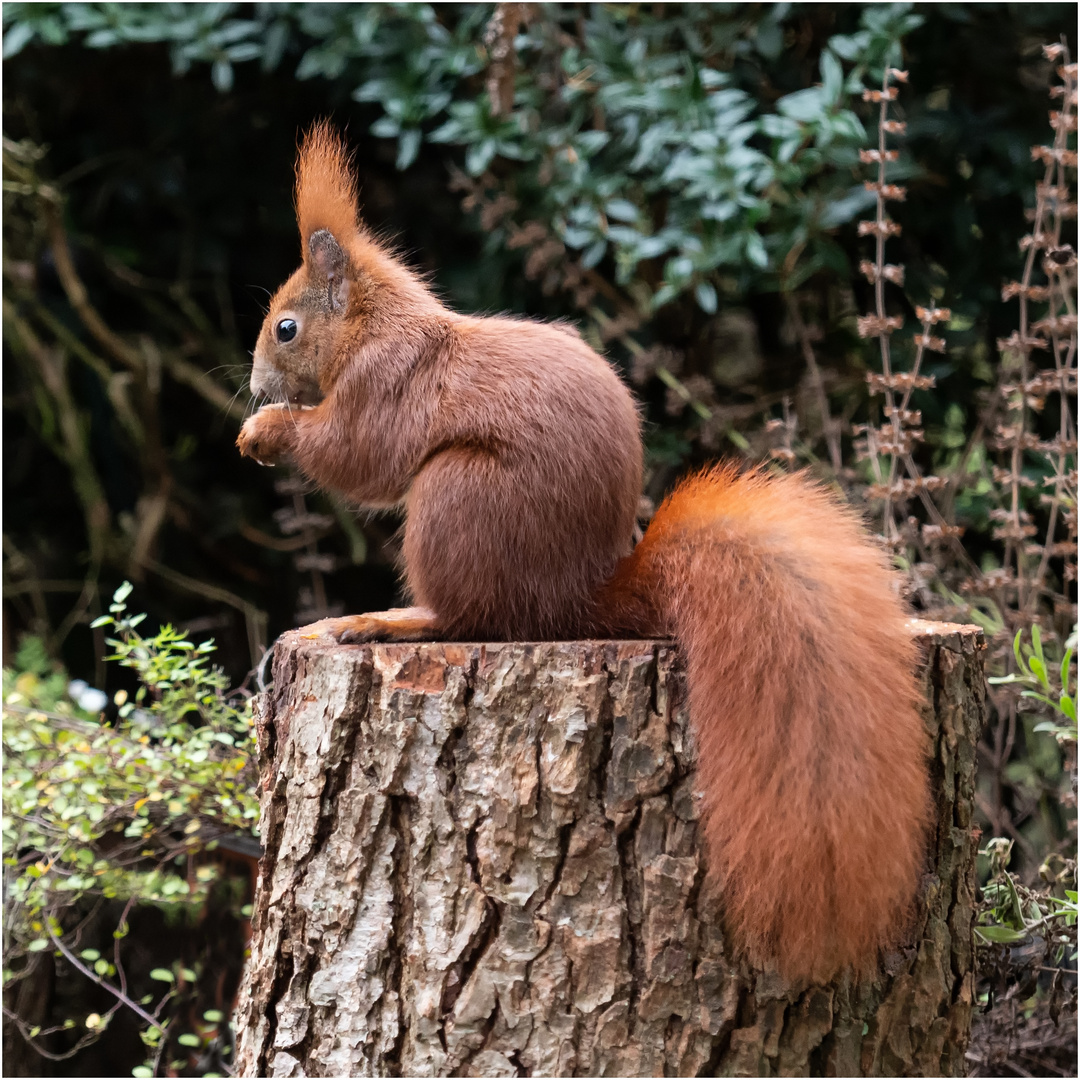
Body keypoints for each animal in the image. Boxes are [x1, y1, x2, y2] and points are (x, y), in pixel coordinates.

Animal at [236, 124, 928, 989]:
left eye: (286, 327)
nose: (256, 385)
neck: (377, 326)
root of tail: (577, 600)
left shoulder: (382, 389)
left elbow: (356, 457)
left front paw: (267, 433)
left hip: (458, 502)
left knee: (474, 620)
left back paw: (396, 621)